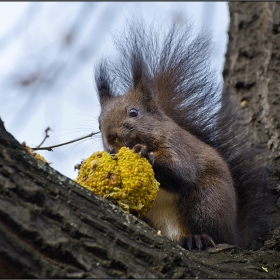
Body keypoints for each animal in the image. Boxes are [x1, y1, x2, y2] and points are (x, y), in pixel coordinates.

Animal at [93, 19, 266, 249]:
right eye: (98, 124)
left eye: (133, 112)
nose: (110, 137)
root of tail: (235, 235)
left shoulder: (177, 144)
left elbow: (181, 172)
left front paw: (145, 153)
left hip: (206, 201)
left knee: (212, 232)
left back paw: (197, 238)